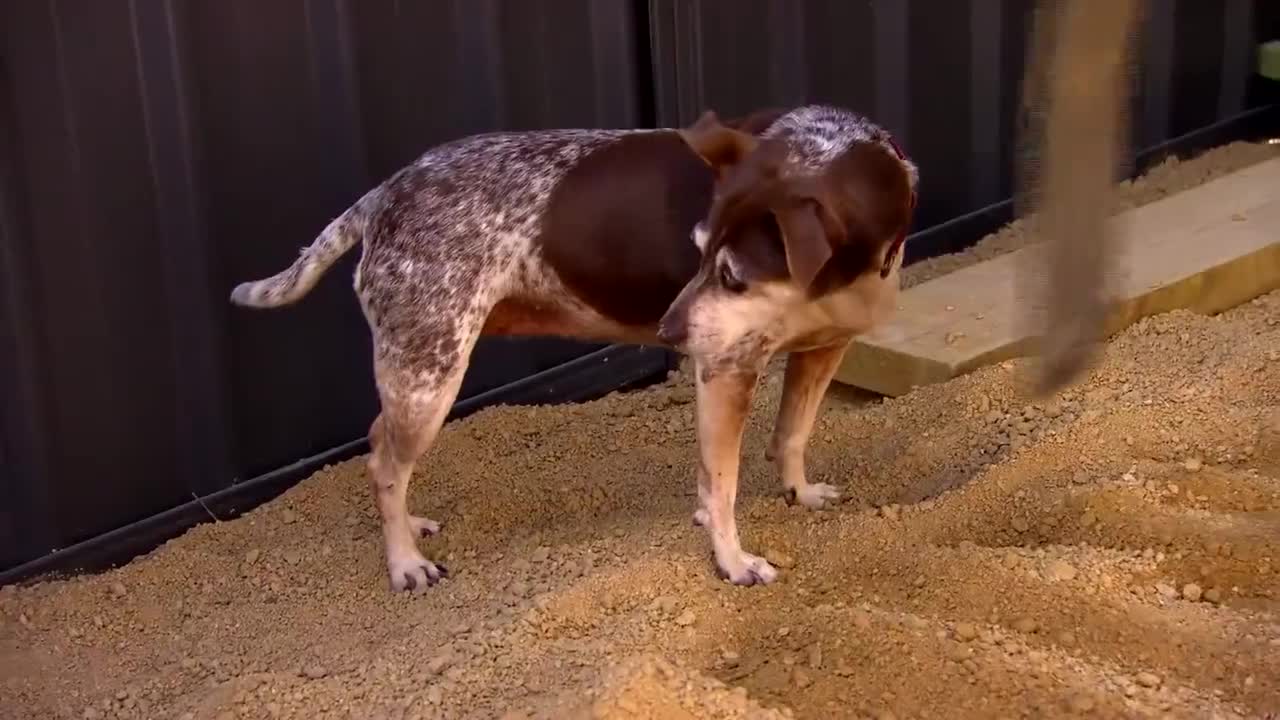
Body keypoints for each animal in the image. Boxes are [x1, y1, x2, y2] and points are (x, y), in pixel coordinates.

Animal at [232, 103, 921, 591]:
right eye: (699, 253)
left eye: (730, 275)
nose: (667, 333)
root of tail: (383, 196)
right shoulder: (726, 368)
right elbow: (721, 483)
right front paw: (732, 560)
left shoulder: (824, 348)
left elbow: (793, 434)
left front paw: (798, 494)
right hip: (429, 374)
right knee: (384, 465)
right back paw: (405, 562)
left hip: (418, 373)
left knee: (380, 446)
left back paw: (409, 526)